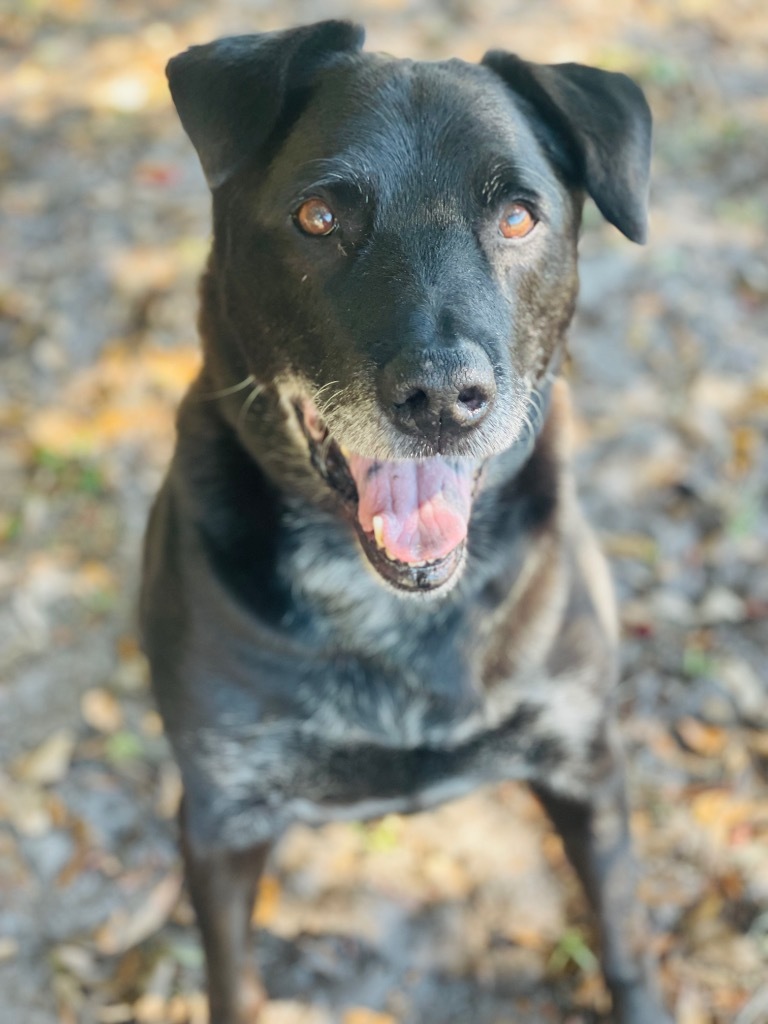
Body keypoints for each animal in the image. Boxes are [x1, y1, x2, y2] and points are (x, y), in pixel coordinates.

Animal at [141, 18, 671, 1024]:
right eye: (318, 217)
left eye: (518, 217)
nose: (443, 399)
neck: (397, 622)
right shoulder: (223, 811)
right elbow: (233, 982)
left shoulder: (586, 762)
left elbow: (625, 938)